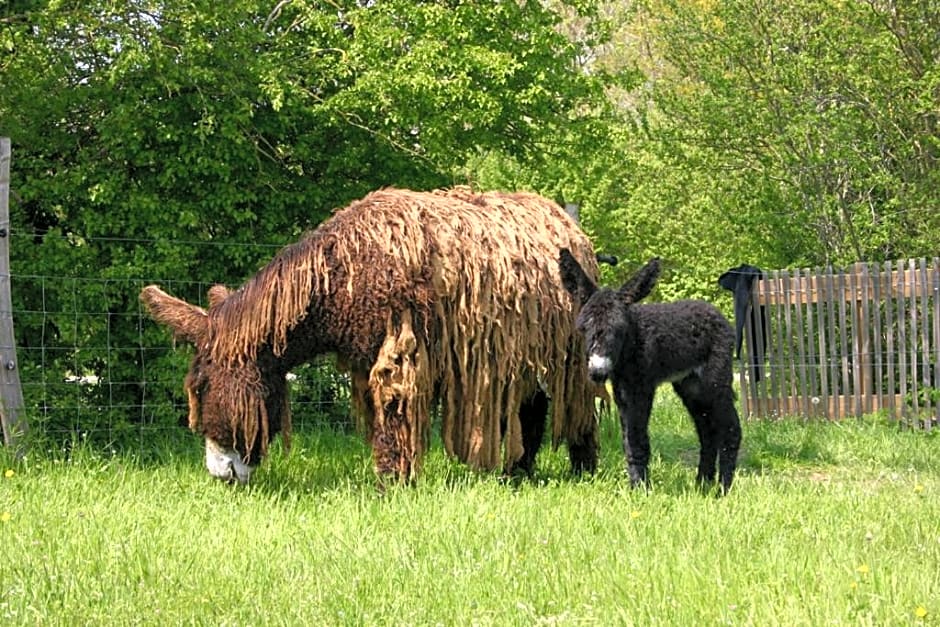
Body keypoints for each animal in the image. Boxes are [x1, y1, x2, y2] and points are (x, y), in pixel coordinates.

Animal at [560, 251, 740, 496]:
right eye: (584, 328)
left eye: (619, 329)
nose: (598, 372)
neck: (632, 344)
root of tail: (718, 315)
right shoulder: (622, 390)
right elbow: (628, 440)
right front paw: (635, 487)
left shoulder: (641, 386)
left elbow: (638, 440)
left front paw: (641, 491)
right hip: (690, 386)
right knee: (708, 432)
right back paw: (702, 485)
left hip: (715, 380)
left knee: (731, 429)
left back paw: (723, 490)